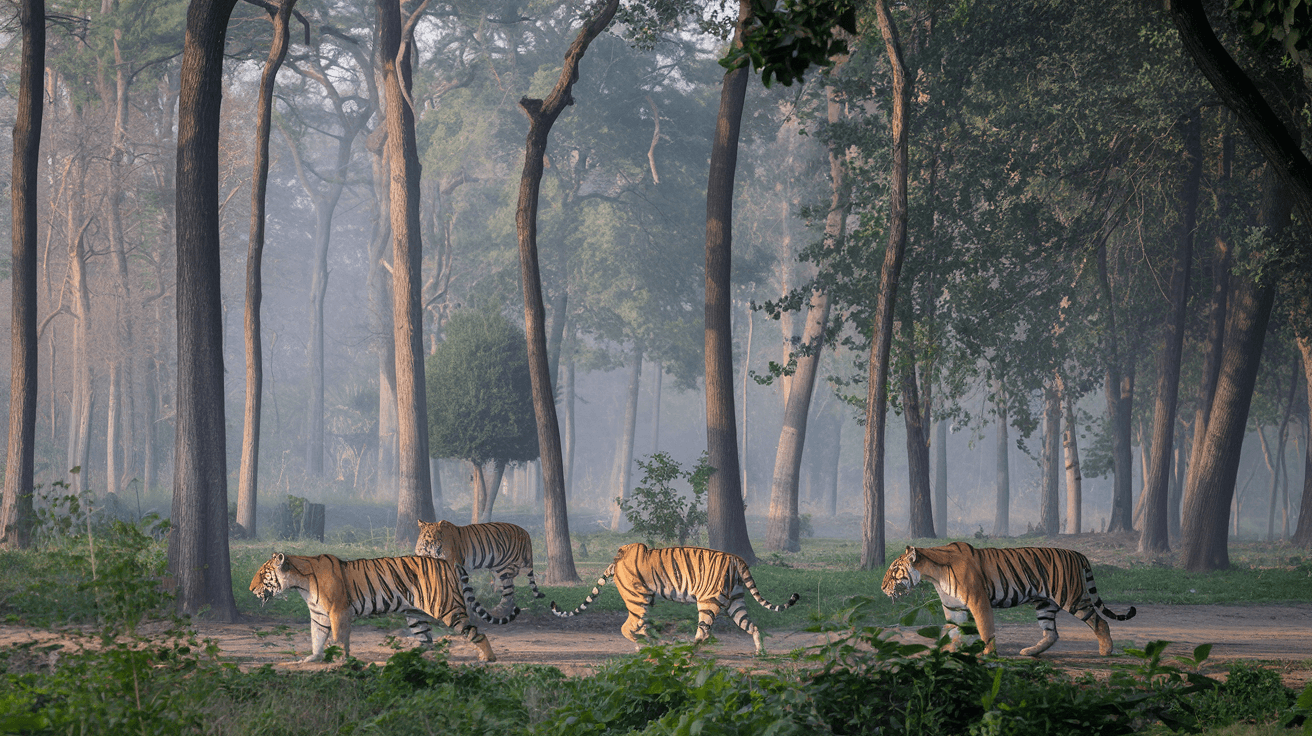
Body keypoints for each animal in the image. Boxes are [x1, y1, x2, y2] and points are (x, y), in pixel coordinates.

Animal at [249, 552, 518, 663]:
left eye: (262, 574)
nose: (250, 589)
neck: (300, 584)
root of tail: (447, 562)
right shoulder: (319, 616)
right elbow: (317, 638)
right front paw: (313, 658)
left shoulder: (338, 611)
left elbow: (339, 638)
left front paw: (340, 658)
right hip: (415, 615)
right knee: (427, 641)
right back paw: (414, 658)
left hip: (448, 609)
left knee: (476, 632)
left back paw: (488, 657)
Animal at [414, 520, 544, 616]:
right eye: (431, 538)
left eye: (441, 537)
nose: (439, 549)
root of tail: (525, 532)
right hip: (498, 569)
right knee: (508, 589)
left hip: (505, 567)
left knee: (509, 590)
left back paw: (499, 610)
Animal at [880, 541, 1136, 656]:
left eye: (894, 570)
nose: (882, 587)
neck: (934, 574)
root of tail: (1078, 553)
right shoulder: (954, 607)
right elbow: (953, 630)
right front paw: (950, 652)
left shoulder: (978, 601)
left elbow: (985, 629)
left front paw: (988, 654)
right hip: (1044, 603)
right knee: (1052, 633)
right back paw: (1030, 651)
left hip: (1071, 597)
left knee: (1100, 622)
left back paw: (1106, 650)